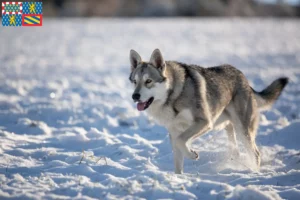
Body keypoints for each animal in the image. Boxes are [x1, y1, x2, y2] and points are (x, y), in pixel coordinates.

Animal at [129, 48, 288, 173]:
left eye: (148, 81)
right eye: (135, 82)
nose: (134, 96)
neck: (173, 96)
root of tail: (244, 78)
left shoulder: (204, 122)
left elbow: (182, 141)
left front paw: (192, 154)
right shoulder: (174, 133)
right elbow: (178, 160)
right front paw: (178, 179)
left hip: (243, 130)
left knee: (255, 154)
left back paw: (254, 172)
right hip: (228, 127)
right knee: (236, 151)